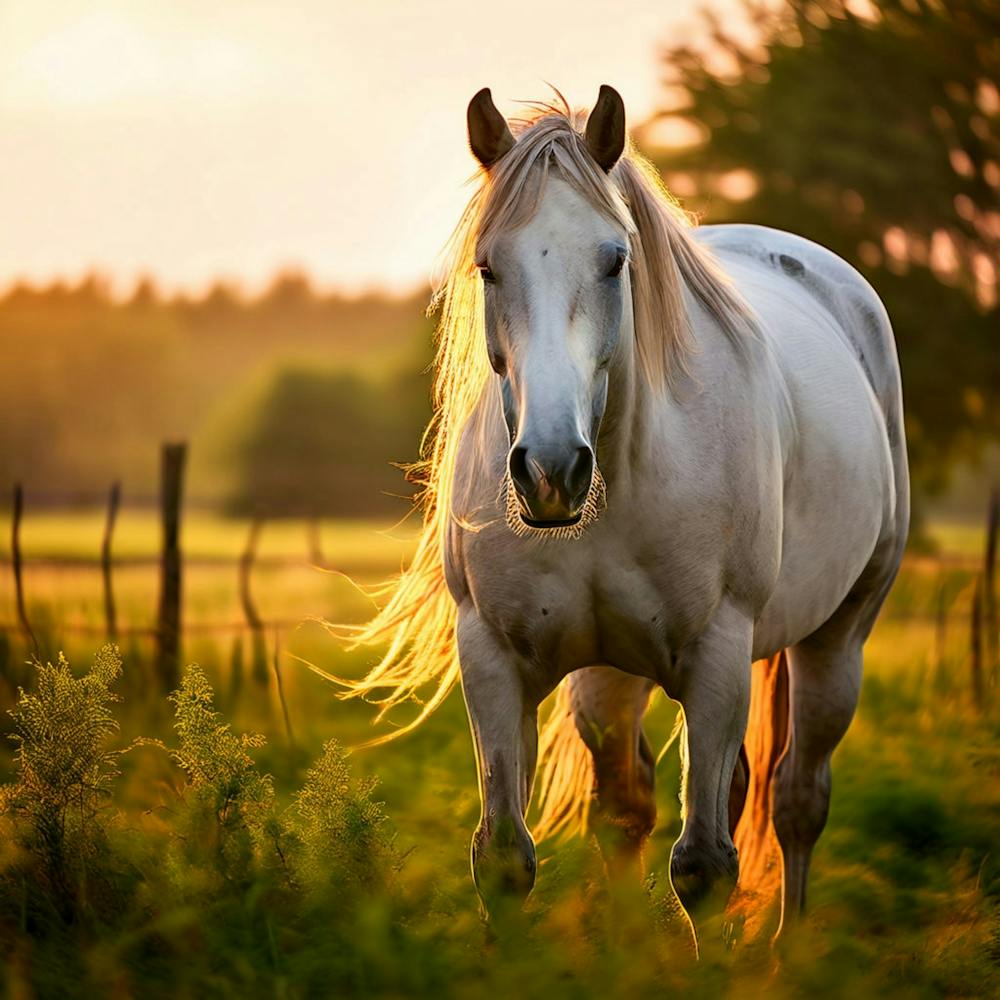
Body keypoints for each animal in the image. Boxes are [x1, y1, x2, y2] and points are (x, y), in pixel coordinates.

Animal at [329, 85, 909, 936]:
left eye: (614, 260)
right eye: (488, 267)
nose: (550, 470)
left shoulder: (717, 657)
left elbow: (705, 865)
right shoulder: (492, 657)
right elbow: (506, 856)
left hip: (838, 637)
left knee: (797, 799)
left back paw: (785, 948)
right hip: (610, 671)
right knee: (634, 807)